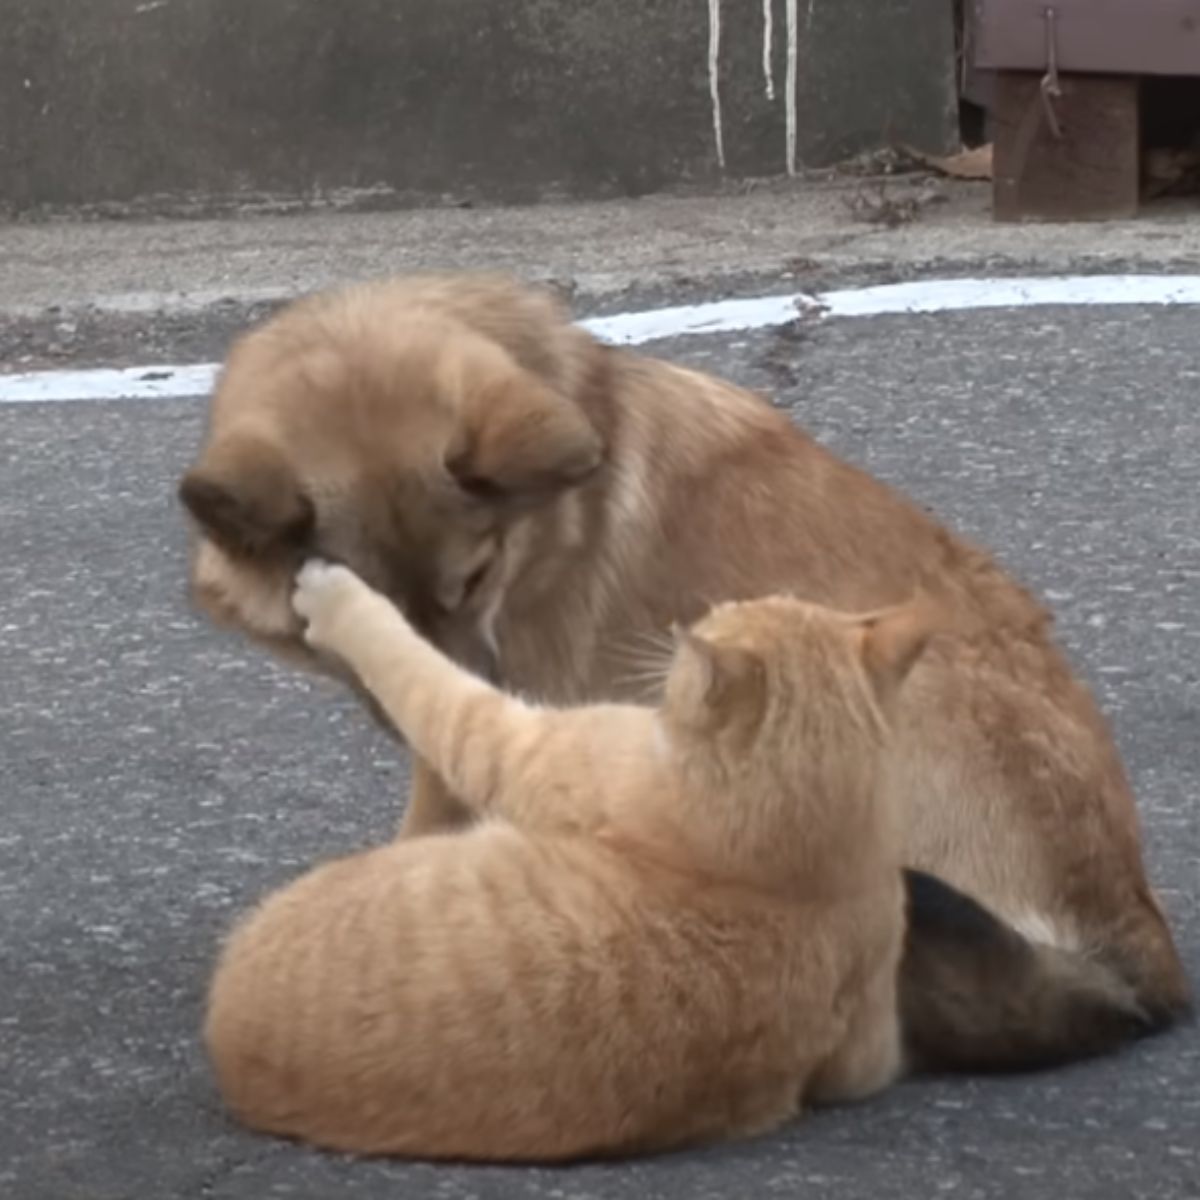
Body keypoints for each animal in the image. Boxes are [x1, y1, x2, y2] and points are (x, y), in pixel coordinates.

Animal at [204, 561, 936, 1161]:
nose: (694, 615)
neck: (798, 862)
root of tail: (232, 1049)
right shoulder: (868, 1053)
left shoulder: (511, 741)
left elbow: (416, 669)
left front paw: (334, 598)